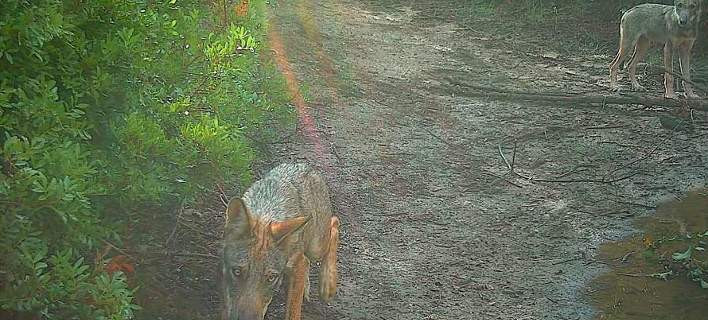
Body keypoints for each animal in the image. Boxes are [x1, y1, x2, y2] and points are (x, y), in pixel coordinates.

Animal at [223, 164, 342, 320]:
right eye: (237, 272)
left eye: (271, 278)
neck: (266, 212)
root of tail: (302, 166)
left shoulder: (297, 264)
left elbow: (292, 312)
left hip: (316, 247)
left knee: (334, 223)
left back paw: (327, 286)